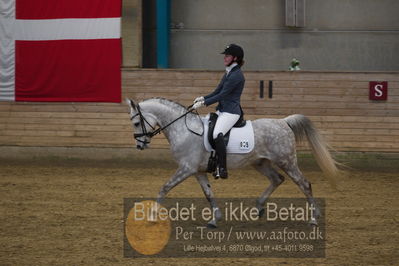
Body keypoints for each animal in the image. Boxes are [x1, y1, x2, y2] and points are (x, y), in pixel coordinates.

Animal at [126, 97, 340, 227]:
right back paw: (258, 208)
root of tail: (283, 122)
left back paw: (313, 219)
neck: (184, 130)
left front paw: (152, 216)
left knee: (304, 184)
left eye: (136, 123)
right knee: (277, 179)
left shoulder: (186, 168)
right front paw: (215, 219)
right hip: (261, 163)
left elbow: (165, 187)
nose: (139, 145)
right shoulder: (198, 171)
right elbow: (208, 194)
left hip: (287, 161)